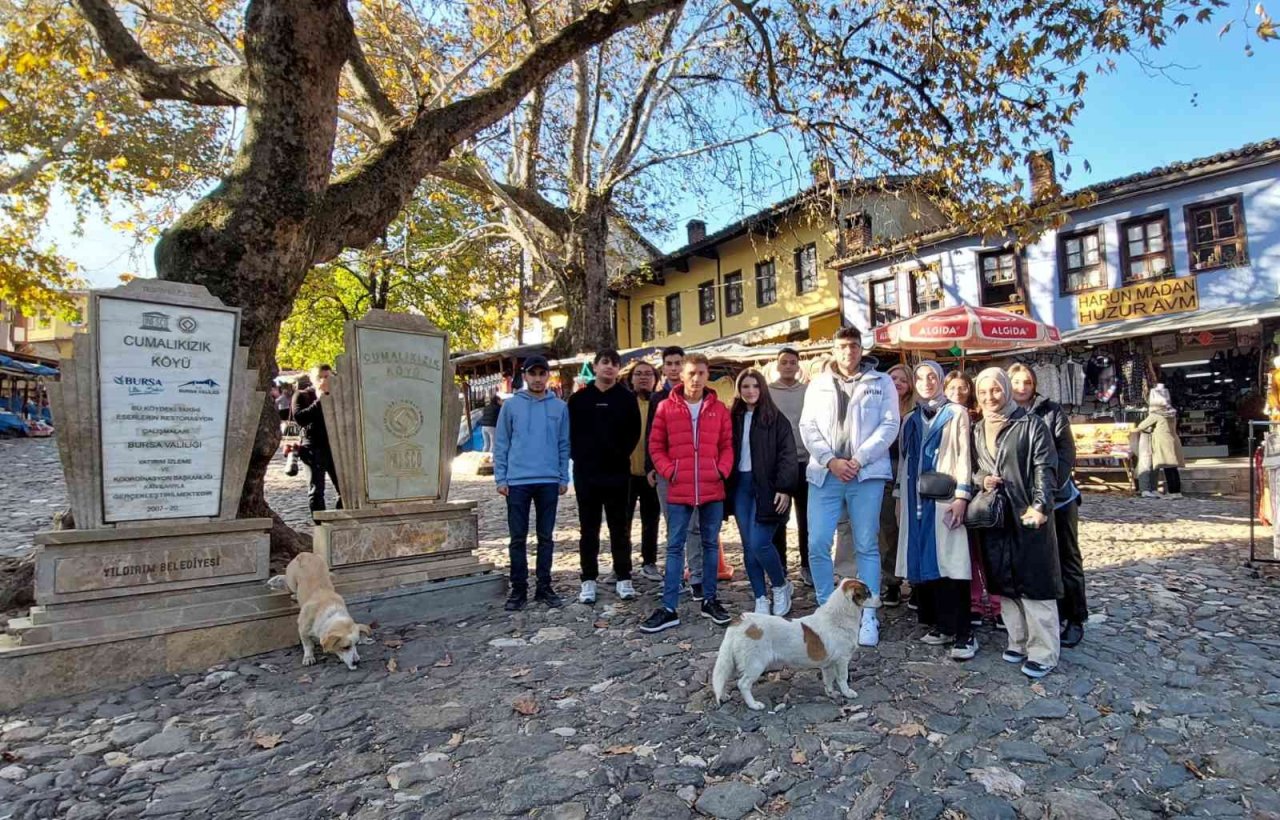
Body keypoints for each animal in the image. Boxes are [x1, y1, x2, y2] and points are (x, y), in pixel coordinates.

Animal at [711, 578, 870, 706]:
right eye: (868, 593)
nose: (876, 594)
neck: (839, 616)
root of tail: (741, 621)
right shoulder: (842, 660)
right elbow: (842, 679)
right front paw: (848, 693)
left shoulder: (828, 664)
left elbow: (828, 680)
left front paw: (831, 694)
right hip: (755, 664)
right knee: (742, 684)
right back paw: (754, 705)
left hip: (731, 661)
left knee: (723, 678)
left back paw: (724, 696)